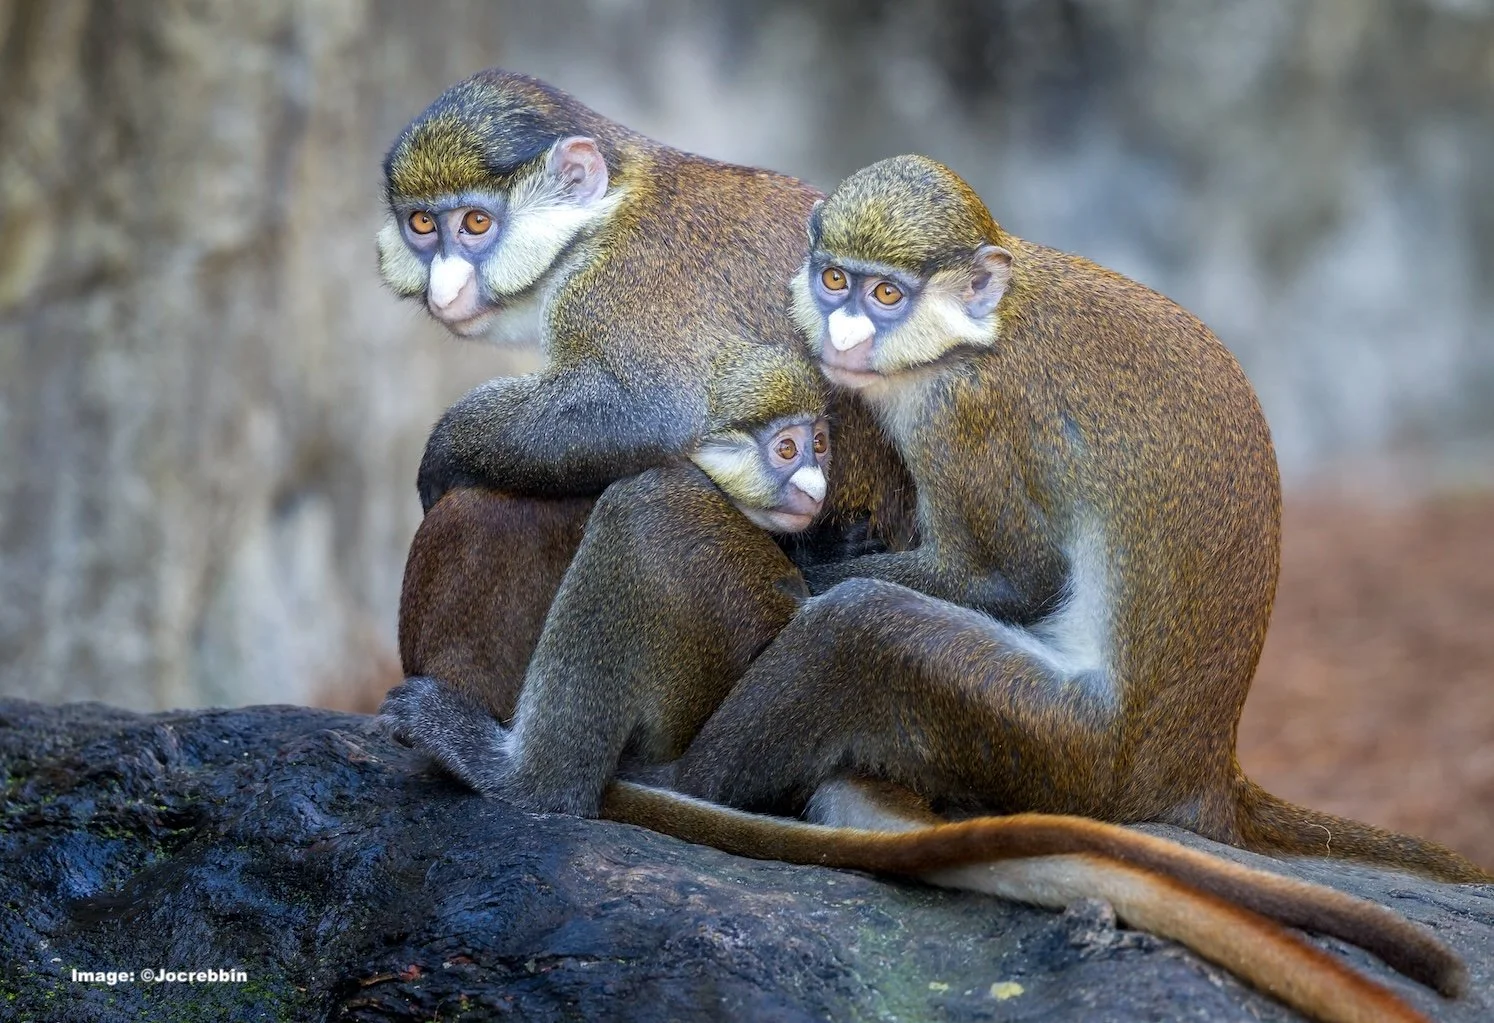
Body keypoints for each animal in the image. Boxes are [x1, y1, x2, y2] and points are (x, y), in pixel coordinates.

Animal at [655, 153, 1492, 891]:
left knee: (865, 627)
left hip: (1068, 751)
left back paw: (678, 782)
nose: (844, 336)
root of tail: (1201, 766)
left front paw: (797, 563)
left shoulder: (964, 414)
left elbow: (1016, 577)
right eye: (835, 280)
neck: (975, 332)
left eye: (886, 295)